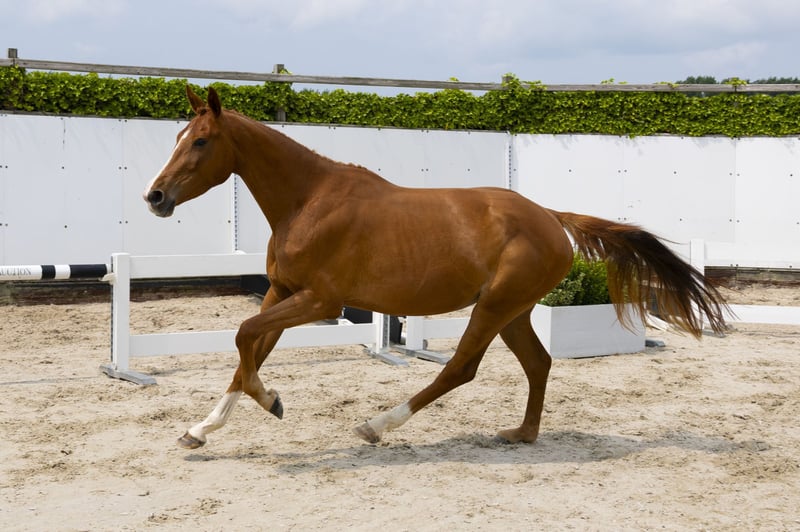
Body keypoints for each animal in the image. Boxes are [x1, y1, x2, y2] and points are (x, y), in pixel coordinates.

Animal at [144, 86, 728, 449]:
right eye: (176, 138)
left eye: (201, 141)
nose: (155, 197)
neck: (308, 201)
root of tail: (550, 217)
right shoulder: (280, 292)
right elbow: (246, 351)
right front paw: (200, 430)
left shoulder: (320, 300)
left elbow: (243, 336)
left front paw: (272, 402)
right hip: (513, 310)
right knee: (538, 364)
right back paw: (521, 434)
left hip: (493, 307)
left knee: (460, 368)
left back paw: (377, 426)